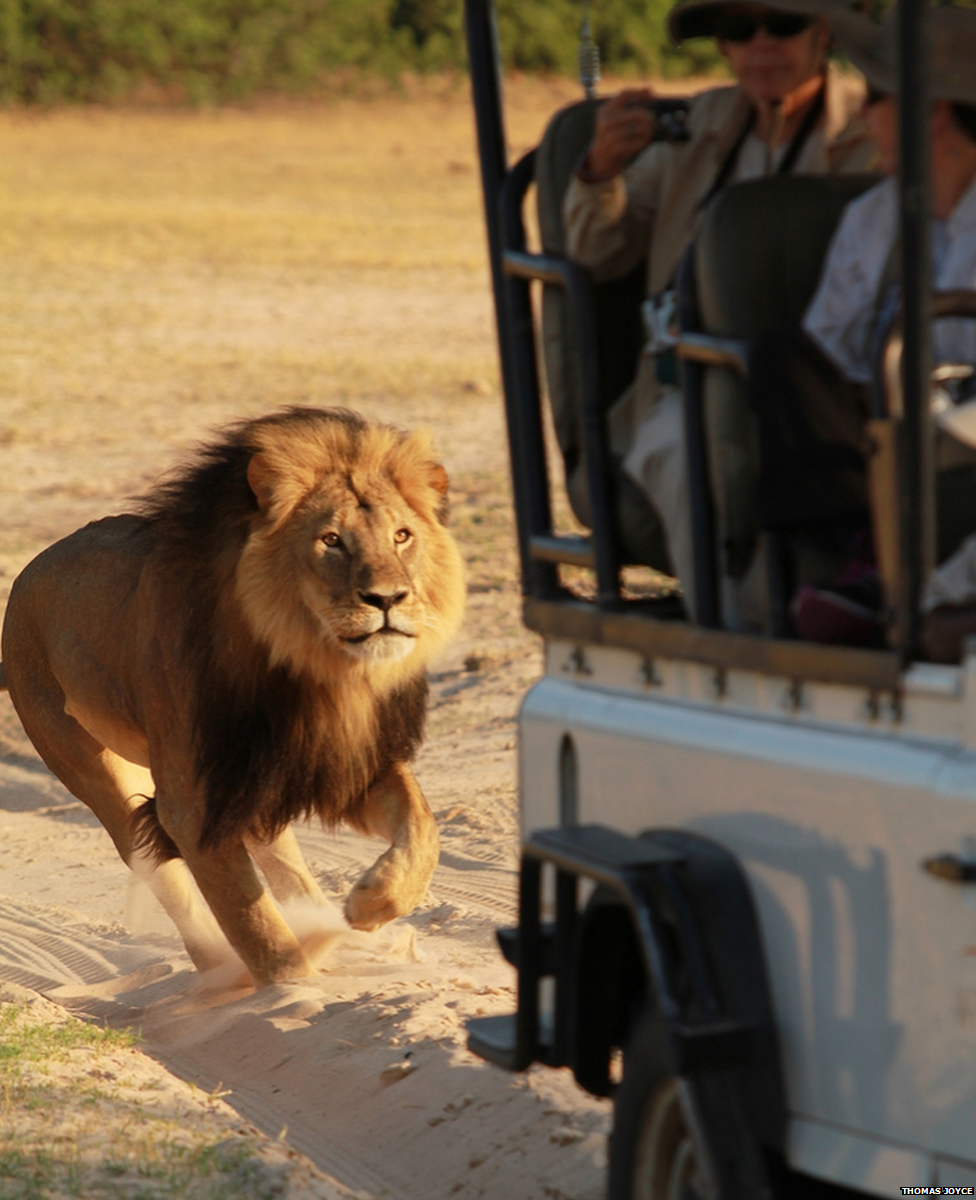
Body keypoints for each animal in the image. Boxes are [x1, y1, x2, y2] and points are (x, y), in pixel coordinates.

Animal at [0, 408, 463, 988]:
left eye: (402, 536)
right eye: (331, 540)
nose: (388, 598)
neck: (305, 669)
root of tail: (25, 578)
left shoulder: (342, 762)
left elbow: (422, 825)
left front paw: (370, 905)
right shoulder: (192, 806)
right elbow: (253, 921)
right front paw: (293, 991)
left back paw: (341, 937)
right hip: (100, 774)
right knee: (173, 888)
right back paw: (223, 970)